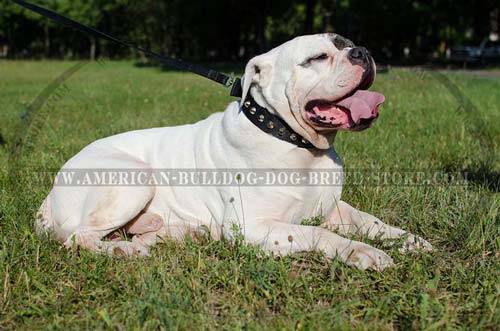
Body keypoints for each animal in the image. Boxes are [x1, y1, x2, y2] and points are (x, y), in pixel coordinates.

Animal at [37, 34, 432, 272]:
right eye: (318, 57)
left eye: (348, 45)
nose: (362, 53)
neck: (296, 142)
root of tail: (50, 194)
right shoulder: (255, 227)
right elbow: (320, 236)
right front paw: (363, 252)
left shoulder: (333, 208)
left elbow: (370, 221)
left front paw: (408, 240)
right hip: (133, 177)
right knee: (78, 238)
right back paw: (124, 251)